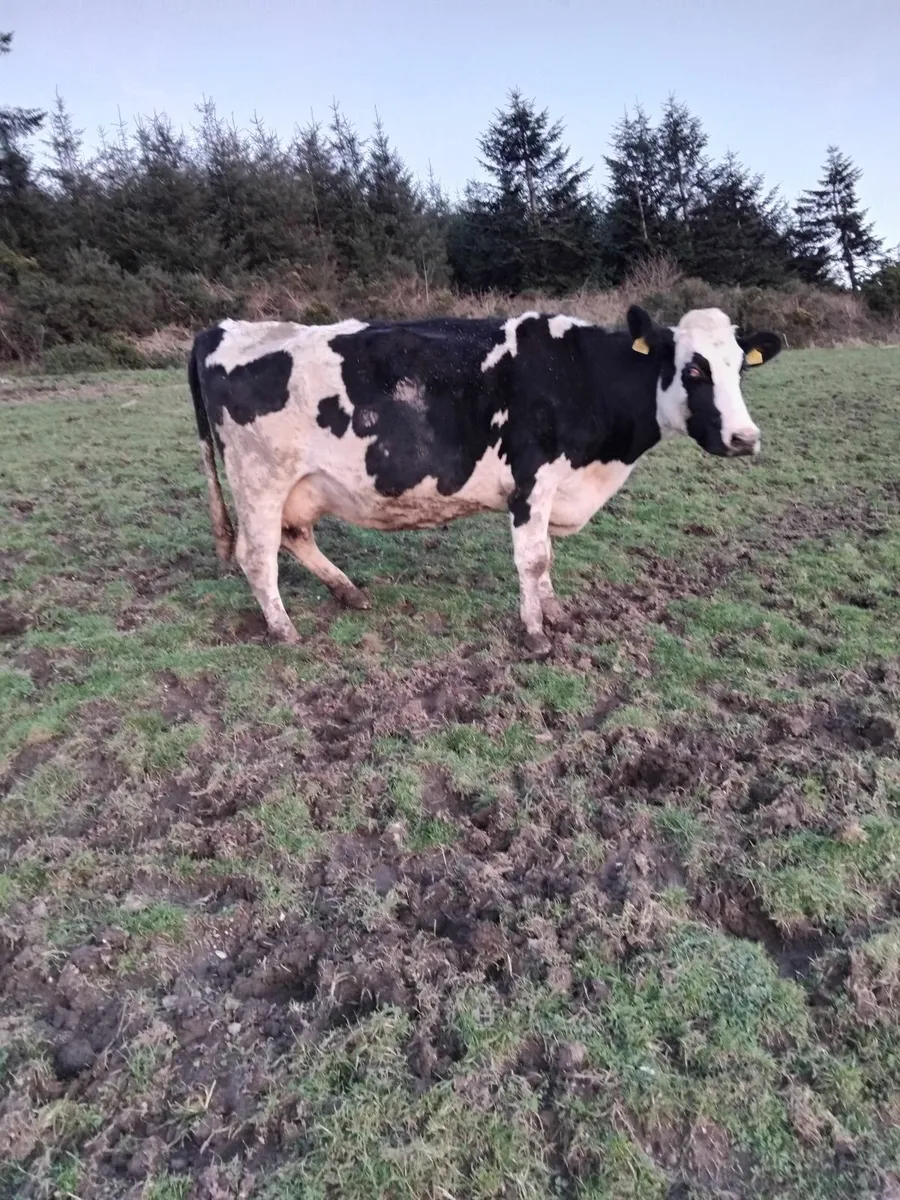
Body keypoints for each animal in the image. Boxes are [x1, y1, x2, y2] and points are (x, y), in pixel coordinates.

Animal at [187, 305, 782, 657]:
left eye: (740, 368)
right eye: (694, 369)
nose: (744, 438)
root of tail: (225, 327)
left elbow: (546, 556)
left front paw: (555, 610)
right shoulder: (532, 480)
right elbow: (533, 557)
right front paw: (537, 633)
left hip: (300, 485)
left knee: (294, 537)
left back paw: (348, 592)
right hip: (260, 479)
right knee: (257, 554)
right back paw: (285, 630)